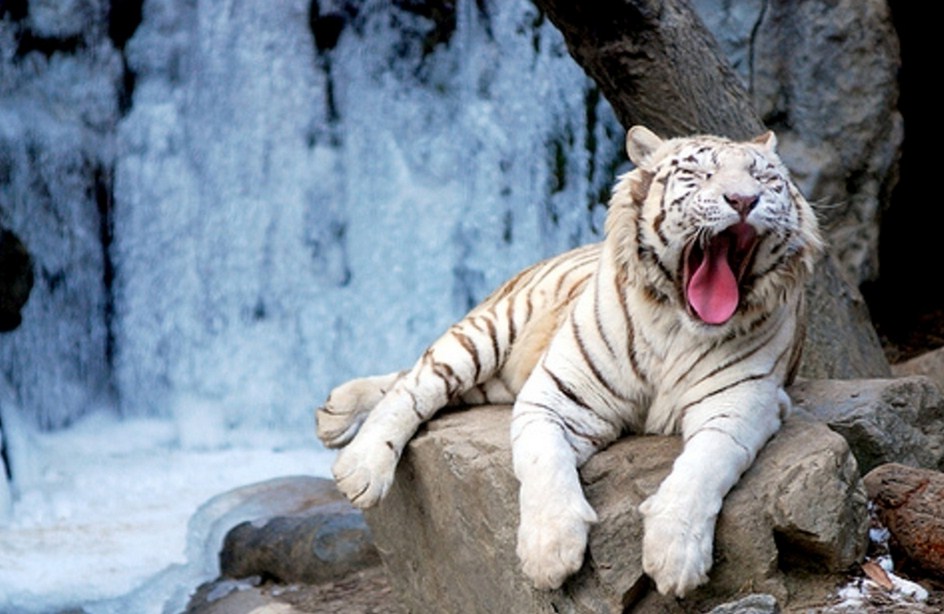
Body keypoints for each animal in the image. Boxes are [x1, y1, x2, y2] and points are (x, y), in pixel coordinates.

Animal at [315, 125, 823, 597]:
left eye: (764, 178)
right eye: (700, 174)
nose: (744, 199)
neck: (678, 325)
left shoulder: (740, 405)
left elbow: (703, 468)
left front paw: (675, 556)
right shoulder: (556, 394)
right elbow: (543, 462)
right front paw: (549, 552)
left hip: (495, 382)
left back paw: (333, 411)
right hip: (490, 331)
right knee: (416, 383)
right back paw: (358, 463)